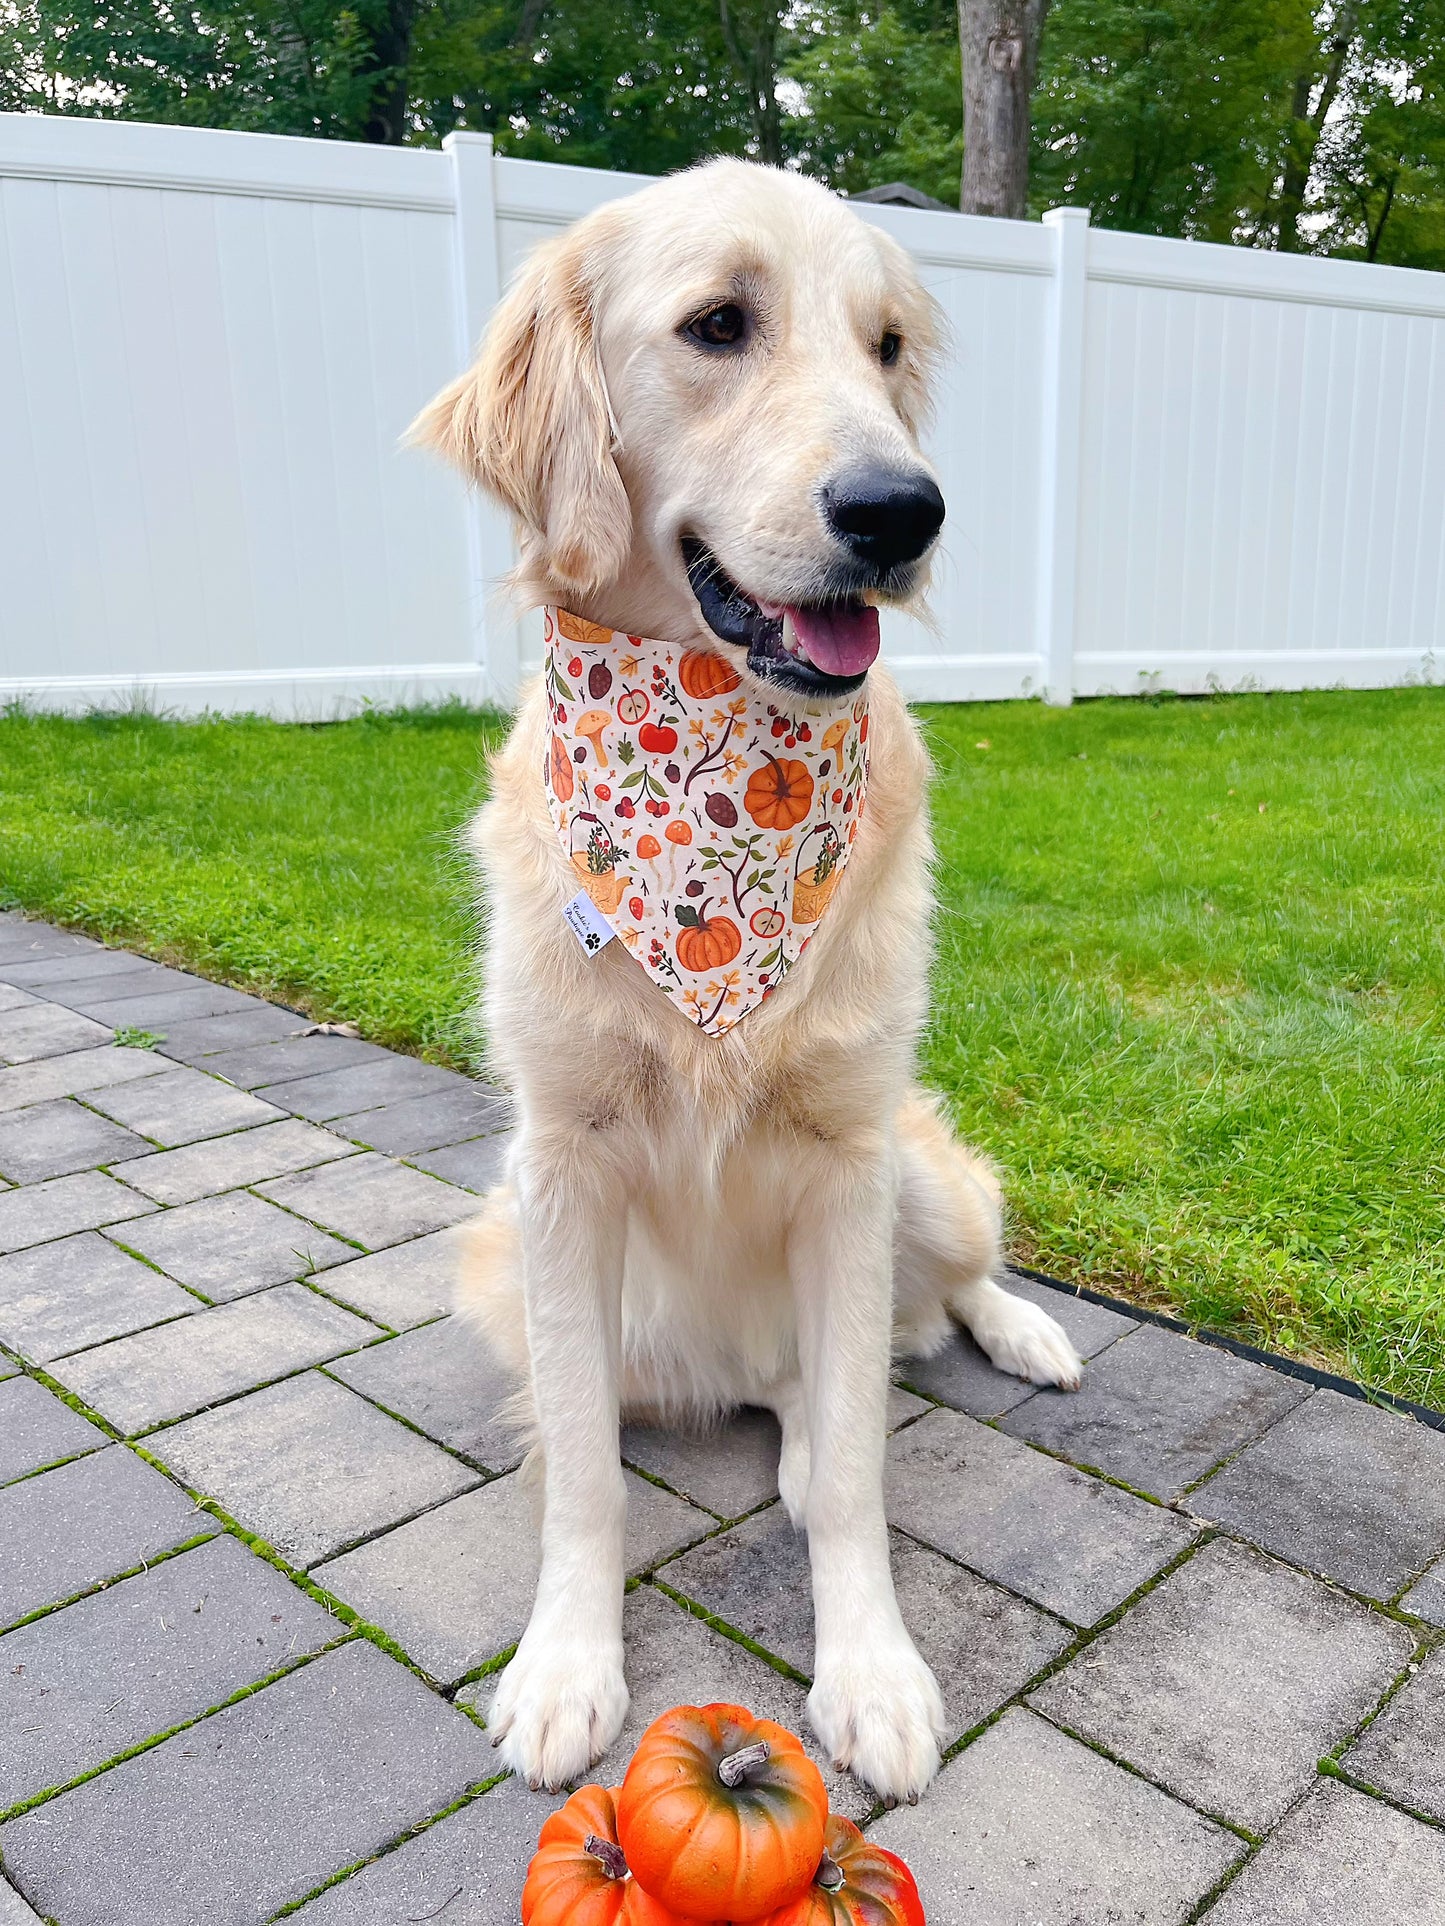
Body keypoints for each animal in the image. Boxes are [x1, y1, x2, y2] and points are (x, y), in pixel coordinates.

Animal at [412, 154, 1078, 1802]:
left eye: (886, 347)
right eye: (719, 323)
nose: (902, 510)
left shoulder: (846, 1160)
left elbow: (856, 1476)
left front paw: (874, 1673)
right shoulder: (558, 1172)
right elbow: (583, 1472)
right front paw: (566, 1664)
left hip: (918, 1180)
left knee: (927, 1314)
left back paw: (1024, 1336)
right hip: (514, 1272)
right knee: (795, 1393)